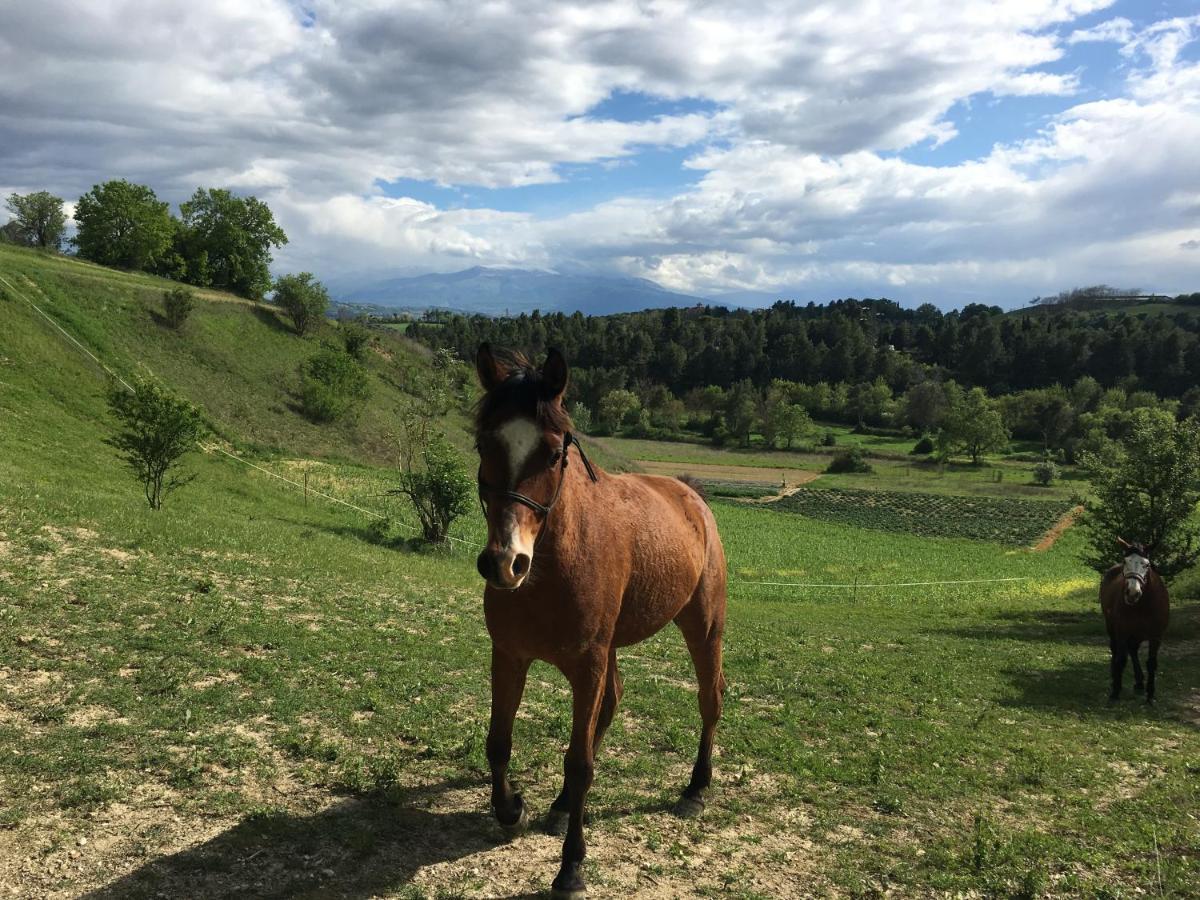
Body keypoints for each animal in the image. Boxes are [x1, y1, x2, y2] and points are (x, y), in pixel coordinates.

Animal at [472, 340, 724, 897]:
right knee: (611, 705)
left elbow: (580, 761)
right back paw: (563, 806)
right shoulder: (510, 656)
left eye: (552, 452)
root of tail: (692, 497)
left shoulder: (586, 664)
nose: (504, 562)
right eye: (483, 445)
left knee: (709, 700)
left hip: (703, 627)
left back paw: (696, 789)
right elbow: (499, 741)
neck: (550, 567)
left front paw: (571, 867)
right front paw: (511, 808)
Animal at [1099, 542, 1166, 705]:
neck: (1142, 605)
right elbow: (1121, 660)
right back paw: (1116, 677)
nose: (1132, 593)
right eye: (1125, 562)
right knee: (1116, 650)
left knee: (1133, 650)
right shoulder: (1122, 632)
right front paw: (1115, 692)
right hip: (1112, 628)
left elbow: (1151, 663)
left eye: (1146, 565)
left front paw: (1150, 695)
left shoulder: (1156, 636)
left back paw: (1140, 682)